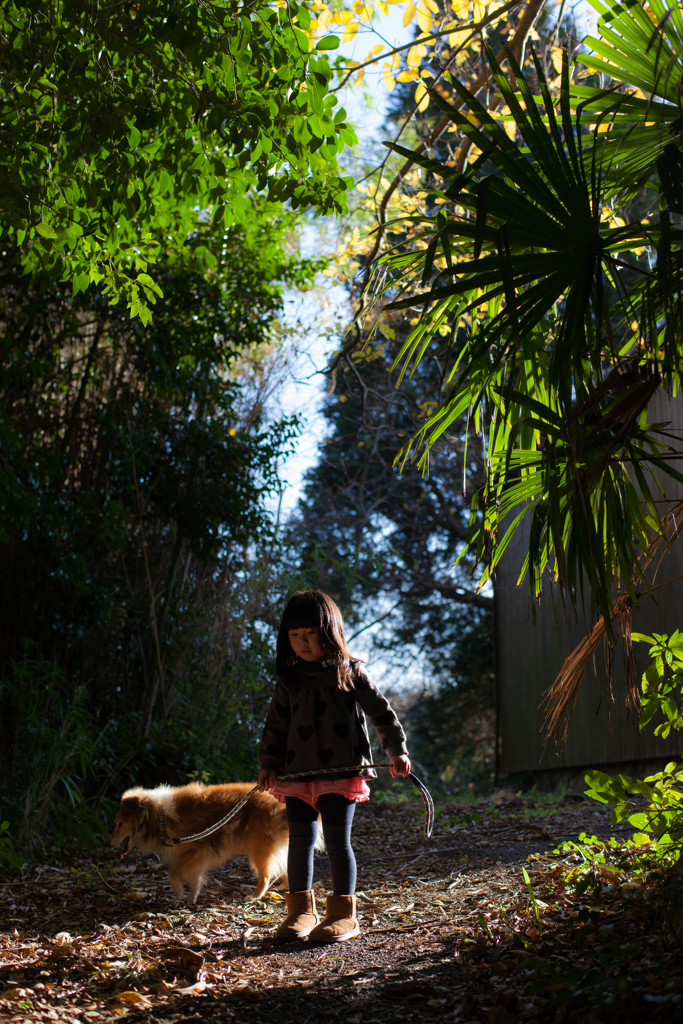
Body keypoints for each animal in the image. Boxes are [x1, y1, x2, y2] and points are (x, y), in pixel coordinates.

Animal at [111, 778, 296, 901]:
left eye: (119, 824)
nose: (109, 842)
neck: (159, 816)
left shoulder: (196, 850)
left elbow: (172, 871)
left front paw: (179, 892)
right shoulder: (197, 857)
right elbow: (194, 880)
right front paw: (191, 899)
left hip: (257, 848)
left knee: (265, 876)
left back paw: (254, 896)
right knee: (285, 866)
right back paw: (284, 887)